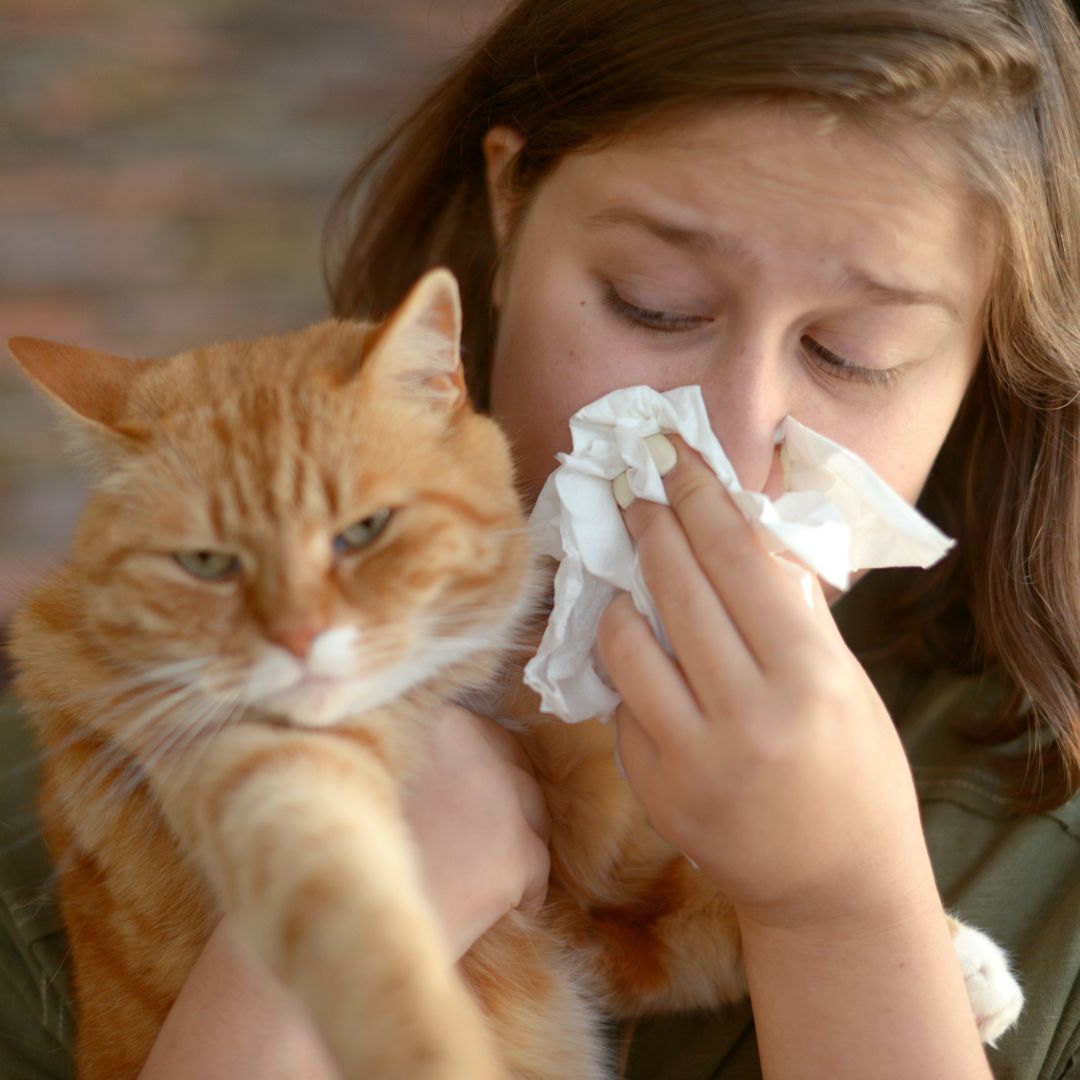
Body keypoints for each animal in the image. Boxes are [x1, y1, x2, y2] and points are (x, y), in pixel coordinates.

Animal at [8, 265, 1019, 1075]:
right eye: (207, 564)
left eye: (365, 531)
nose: (298, 637)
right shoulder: (244, 771)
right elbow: (353, 917)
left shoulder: (604, 918)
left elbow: (714, 903)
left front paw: (948, 958)